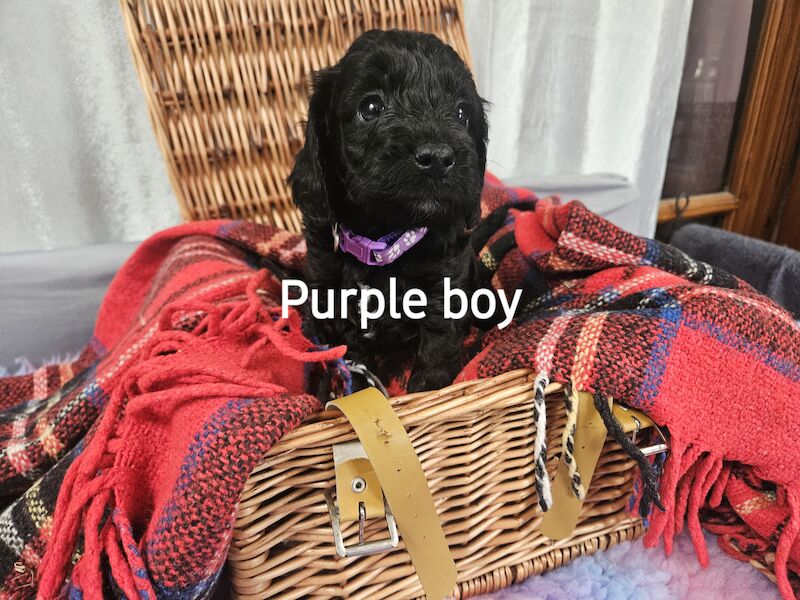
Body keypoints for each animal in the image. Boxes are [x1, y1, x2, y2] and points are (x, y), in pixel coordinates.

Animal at [290, 29, 484, 394]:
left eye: (462, 113)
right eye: (371, 106)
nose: (437, 158)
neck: (384, 241)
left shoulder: (446, 283)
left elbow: (437, 346)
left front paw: (426, 392)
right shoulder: (329, 292)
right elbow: (350, 360)